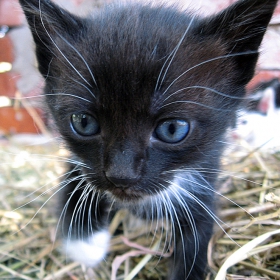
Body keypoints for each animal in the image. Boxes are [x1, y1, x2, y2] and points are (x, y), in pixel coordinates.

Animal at [19, 1, 278, 278]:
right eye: (84, 122)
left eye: (173, 129)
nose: (121, 175)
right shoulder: (78, 162)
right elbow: (74, 184)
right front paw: (85, 244)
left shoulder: (207, 166)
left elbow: (199, 226)